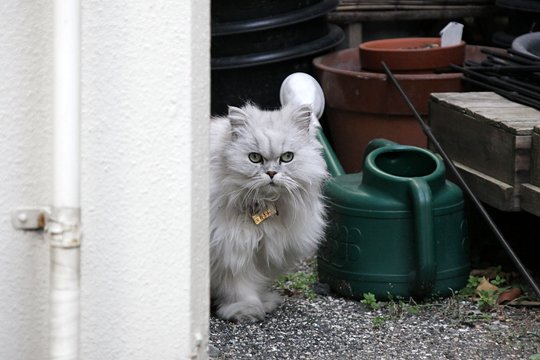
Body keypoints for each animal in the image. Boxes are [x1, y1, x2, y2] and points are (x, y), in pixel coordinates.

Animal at [209, 102, 326, 322]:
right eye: (254, 158)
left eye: (287, 157)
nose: (271, 173)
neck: (266, 205)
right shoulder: (232, 249)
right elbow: (239, 287)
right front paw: (246, 310)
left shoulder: (261, 252)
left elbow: (255, 282)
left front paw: (265, 301)